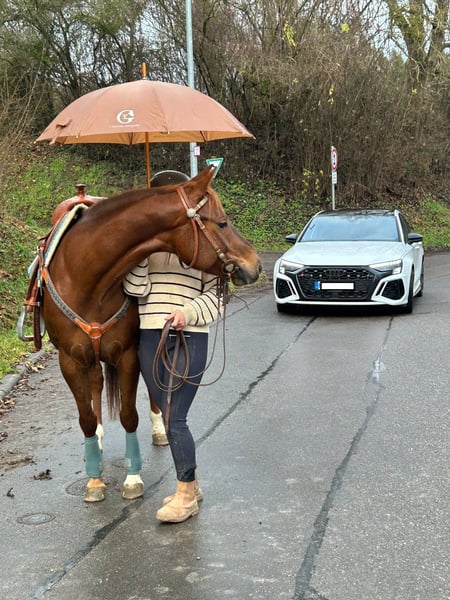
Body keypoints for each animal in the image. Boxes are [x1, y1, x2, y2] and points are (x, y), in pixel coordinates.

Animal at [37, 166, 261, 502]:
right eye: (222, 222)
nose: (255, 264)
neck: (86, 279)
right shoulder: (70, 361)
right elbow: (85, 418)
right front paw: (94, 479)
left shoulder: (129, 354)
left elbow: (130, 414)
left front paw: (132, 478)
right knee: (96, 386)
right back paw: (99, 439)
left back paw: (158, 427)